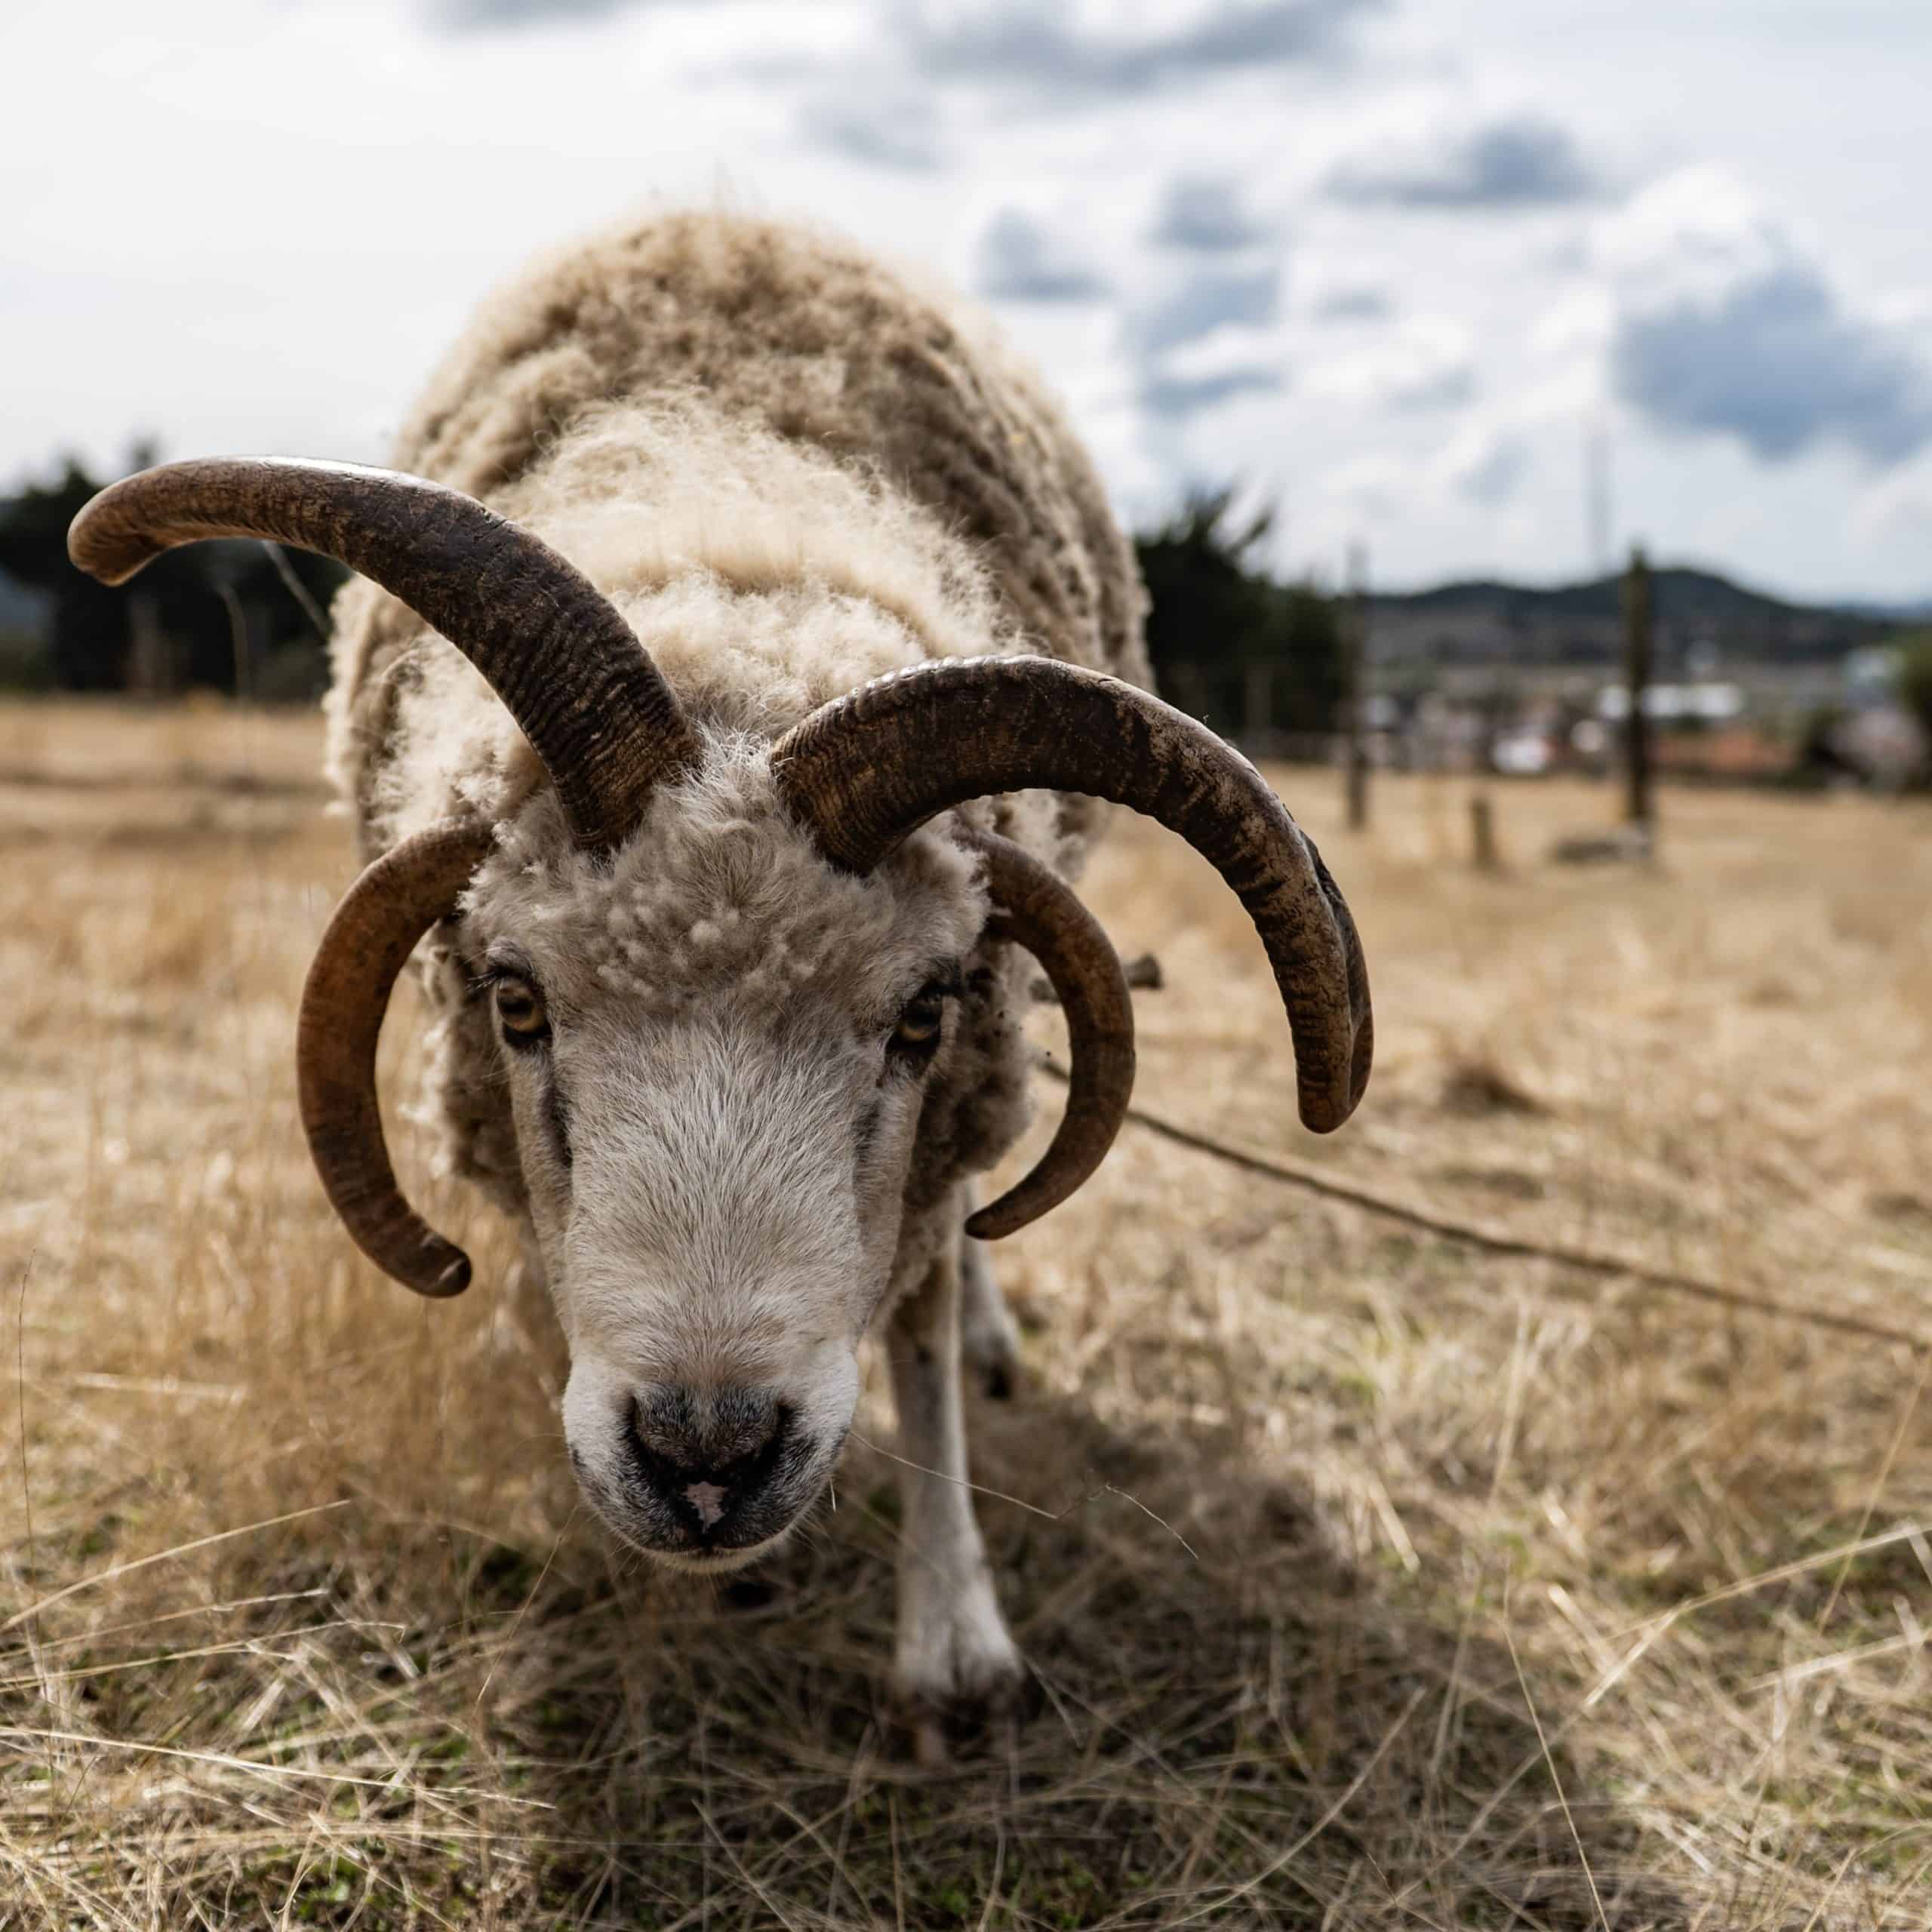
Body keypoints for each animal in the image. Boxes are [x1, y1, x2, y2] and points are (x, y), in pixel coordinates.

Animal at [70, 209, 1373, 1743]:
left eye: (922, 1013)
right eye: (515, 997)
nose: (707, 1456)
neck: (732, 483)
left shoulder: (933, 1144)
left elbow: (922, 1320)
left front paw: (956, 1639)